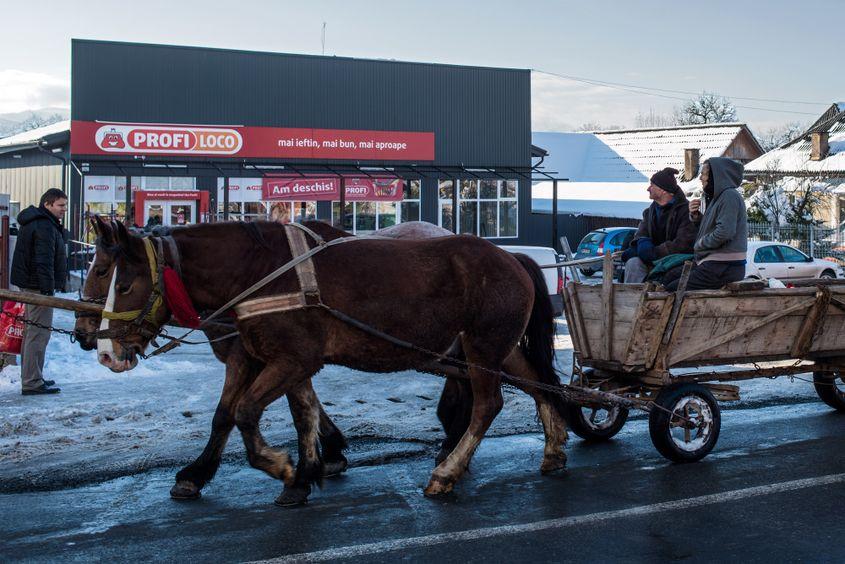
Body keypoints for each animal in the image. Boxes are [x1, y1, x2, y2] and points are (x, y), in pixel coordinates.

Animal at [92, 219, 568, 502]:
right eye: (101, 271)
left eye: (124, 282)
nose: (103, 352)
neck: (258, 273)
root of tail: (512, 258)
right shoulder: (281, 359)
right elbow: (289, 413)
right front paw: (306, 473)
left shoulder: (290, 359)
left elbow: (245, 412)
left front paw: (281, 467)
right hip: (494, 349)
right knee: (538, 383)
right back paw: (554, 448)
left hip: (483, 348)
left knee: (489, 405)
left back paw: (447, 472)